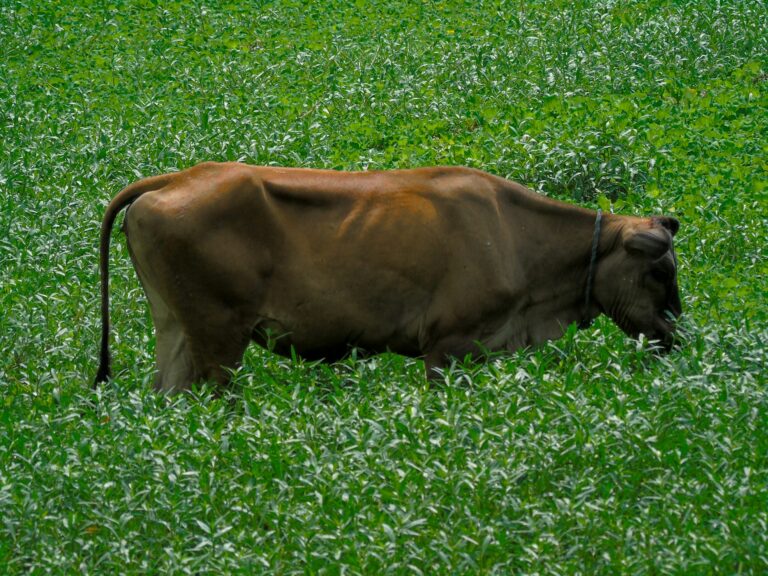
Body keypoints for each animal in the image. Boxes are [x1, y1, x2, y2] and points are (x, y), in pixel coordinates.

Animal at [94, 162, 681, 392]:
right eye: (658, 270)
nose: (675, 334)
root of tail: (180, 177)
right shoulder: (448, 346)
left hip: (175, 329)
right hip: (218, 337)